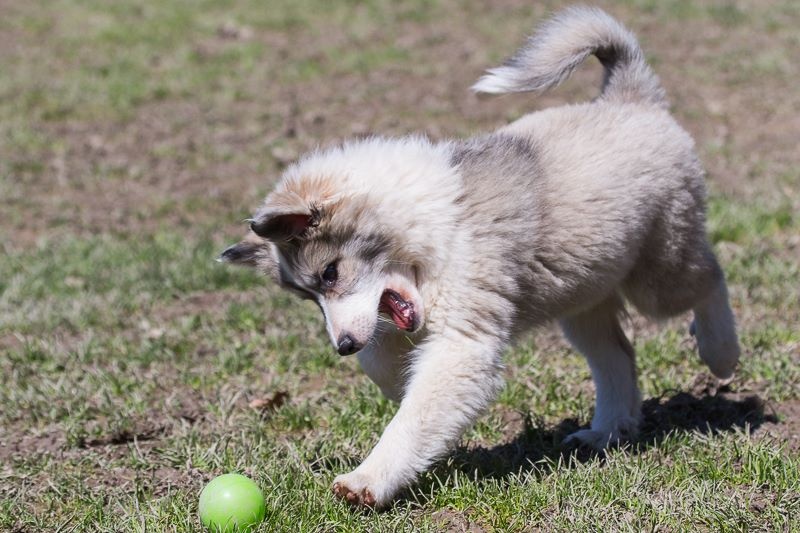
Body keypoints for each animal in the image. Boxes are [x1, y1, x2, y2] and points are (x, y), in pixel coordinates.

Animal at [219, 7, 736, 508]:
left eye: (330, 273)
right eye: (311, 298)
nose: (342, 347)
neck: (420, 224)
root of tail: (630, 98)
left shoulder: (461, 341)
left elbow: (415, 414)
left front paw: (367, 480)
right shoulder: (402, 321)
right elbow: (383, 365)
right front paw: (397, 387)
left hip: (657, 272)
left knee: (710, 278)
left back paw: (720, 353)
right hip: (583, 292)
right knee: (618, 355)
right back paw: (607, 431)